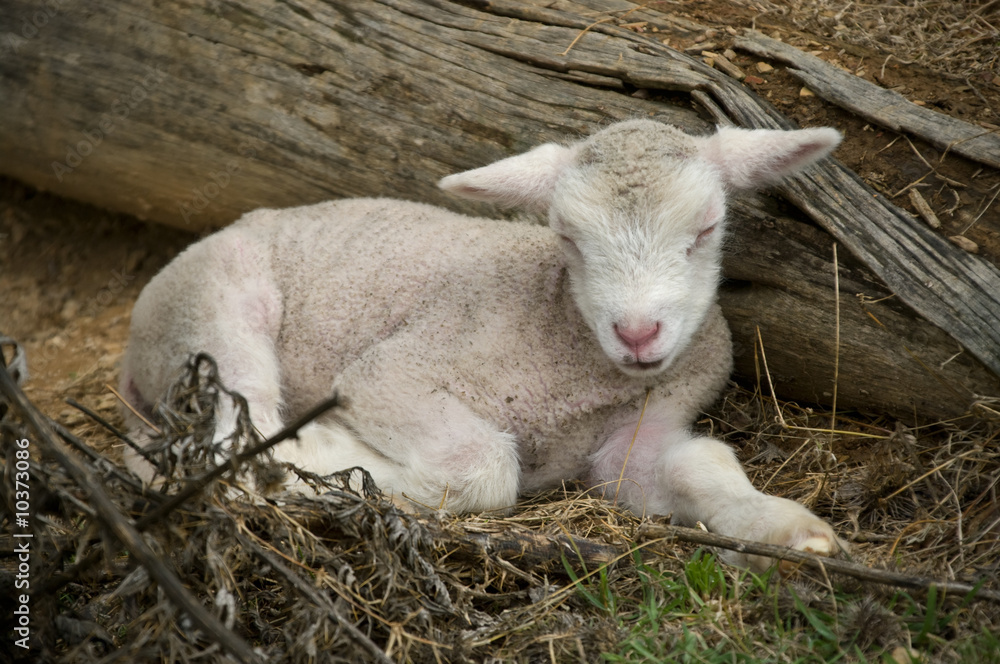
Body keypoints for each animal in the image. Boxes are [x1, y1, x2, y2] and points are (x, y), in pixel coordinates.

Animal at [120, 119, 844, 571]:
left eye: (707, 228)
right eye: (567, 236)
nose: (638, 333)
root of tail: (131, 356)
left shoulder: (643, 431)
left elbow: (700, 464)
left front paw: (789, 532)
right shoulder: (389, 373)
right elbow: (486, 466)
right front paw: (337, 457)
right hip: (213, 308)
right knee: (230, 445)